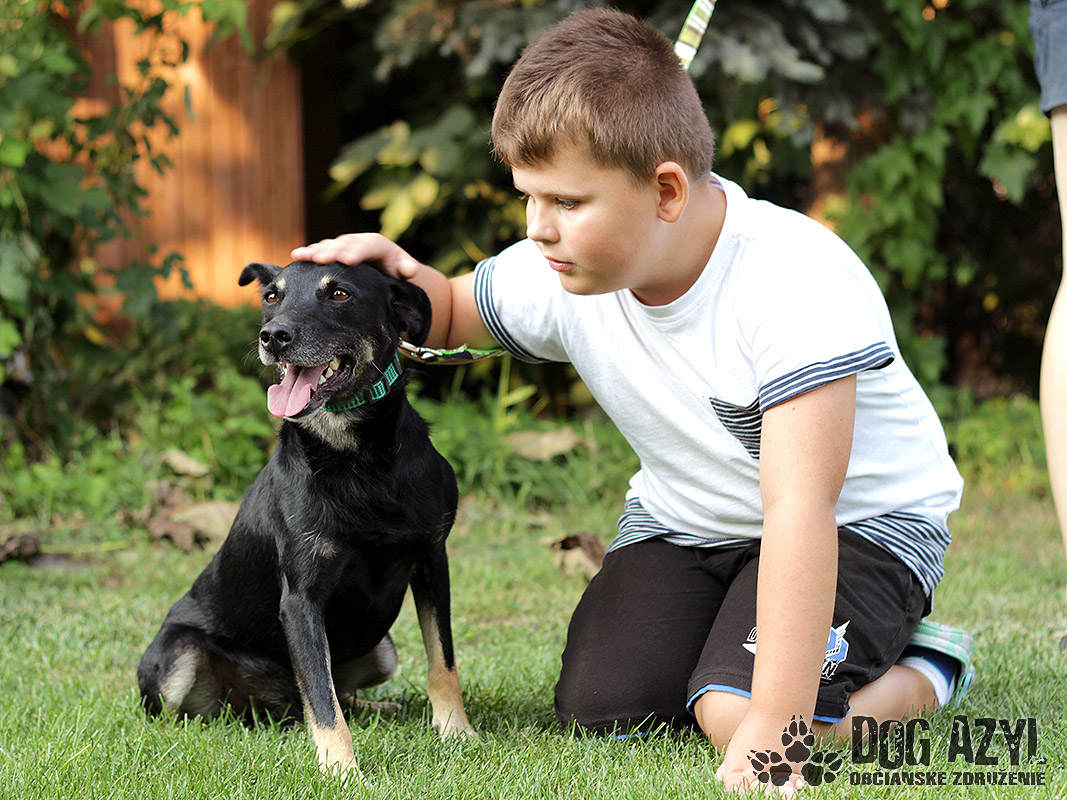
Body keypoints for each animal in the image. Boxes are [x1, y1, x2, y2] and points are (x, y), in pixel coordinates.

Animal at [138, 260, 474, 779]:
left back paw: (385, 708)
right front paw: (342, 770)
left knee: (339, 696)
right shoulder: (301, 597)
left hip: (382, 650)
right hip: (178, 656)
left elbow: (444, 660)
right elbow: (321, 694)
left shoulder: (432, 561)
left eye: (339, 294)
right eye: (271, 296)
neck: (356, 459)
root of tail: (270, 709)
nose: (273, 336)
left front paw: (457, 730)